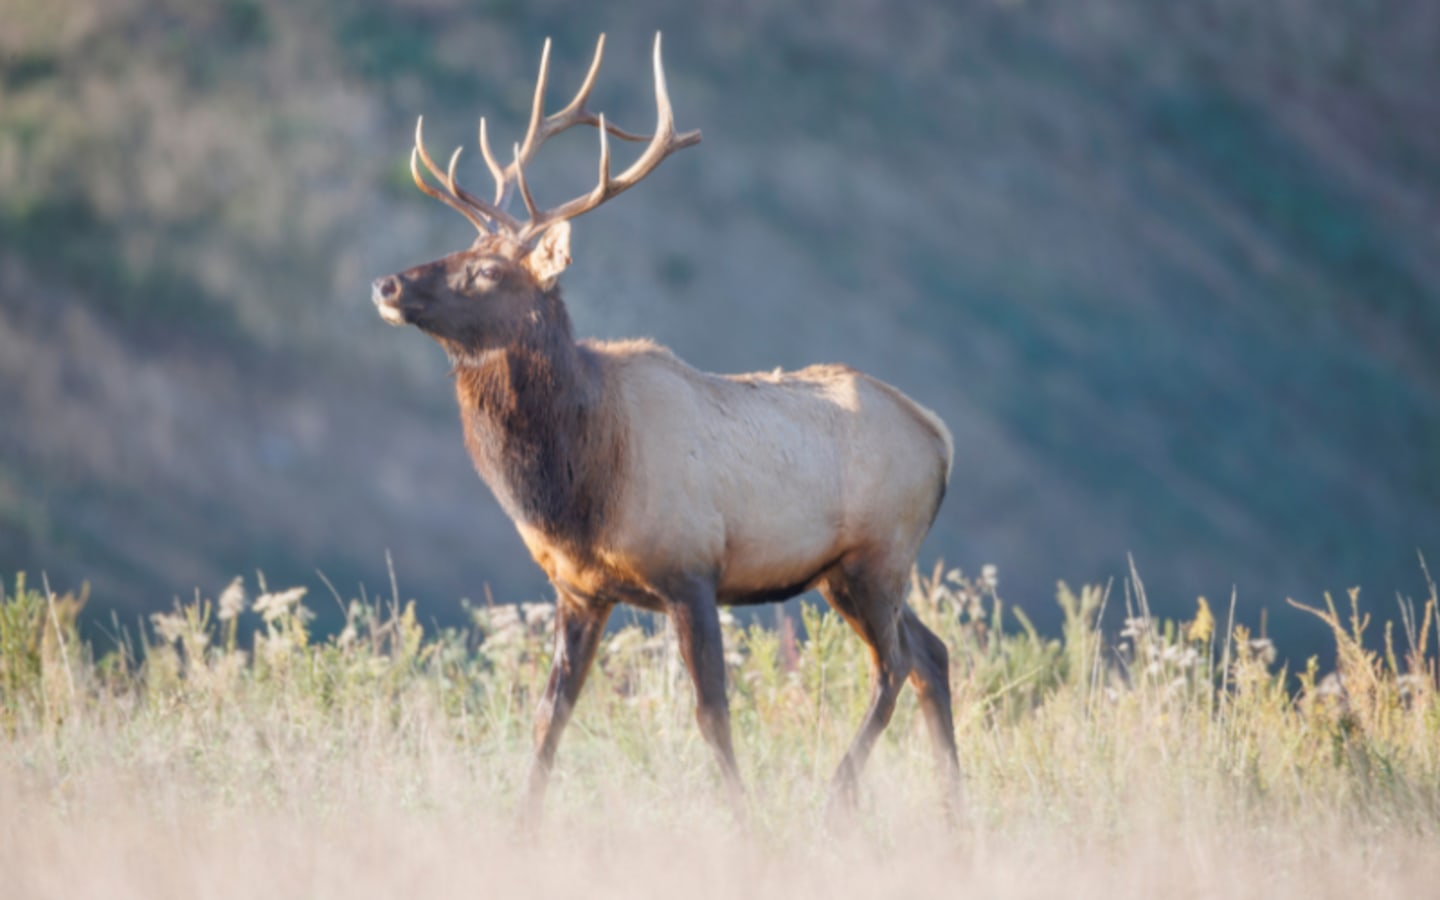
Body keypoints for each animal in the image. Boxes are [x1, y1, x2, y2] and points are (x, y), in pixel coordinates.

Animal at [371, 33, 962, 825]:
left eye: (486, 271)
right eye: (458, 251)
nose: (387, 284)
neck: (578, 483)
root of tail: (940, 437)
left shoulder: (691, 572)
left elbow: (713, 716)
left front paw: (746, 823)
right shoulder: (580, 589)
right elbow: (549, 715)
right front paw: (520, 827)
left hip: (879, 555)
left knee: (894, 665)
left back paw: (838, 795)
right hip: (851, 573)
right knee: (932, 654)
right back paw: (955, 813)